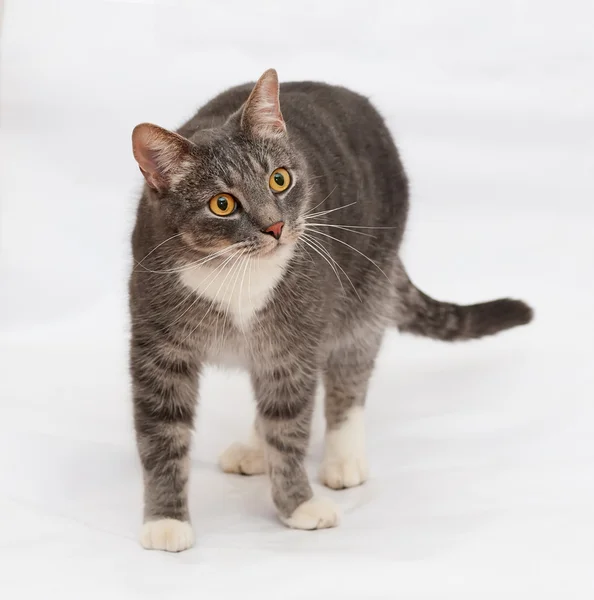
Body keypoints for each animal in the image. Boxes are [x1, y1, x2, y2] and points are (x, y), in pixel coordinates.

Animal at [127, 69, 528, 552]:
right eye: (222, 204)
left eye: (280, 180)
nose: (276, 226)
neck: (234, 273)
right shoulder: (159, 349)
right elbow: (161, 436)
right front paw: (166, 520)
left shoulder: (295, 344)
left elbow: (290, 429)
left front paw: (297, 503)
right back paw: (254, 450)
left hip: (365, 294)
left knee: (349, 380)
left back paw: (343, 457)